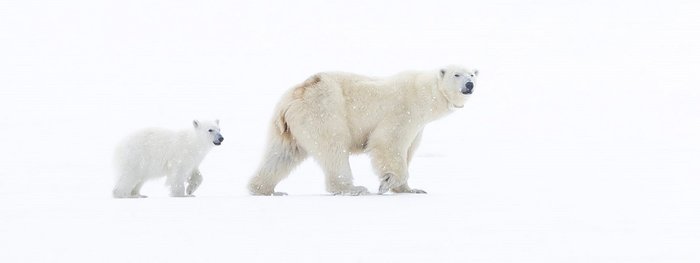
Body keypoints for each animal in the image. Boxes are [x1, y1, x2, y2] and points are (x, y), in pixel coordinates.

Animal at [249, 66, 478, 196]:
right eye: (457, 74)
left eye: (472, 74)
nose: (469, 84)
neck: (424, 93)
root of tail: (299, 92)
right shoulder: (404, 111)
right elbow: (387, 142)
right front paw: (386, 183)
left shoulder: (418, 127)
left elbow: (408, 151)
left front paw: (412, 189)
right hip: (324, 112)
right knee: (334, 148)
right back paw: (353, 188)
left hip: (287, 127)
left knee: (281, 155)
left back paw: (264, 189)